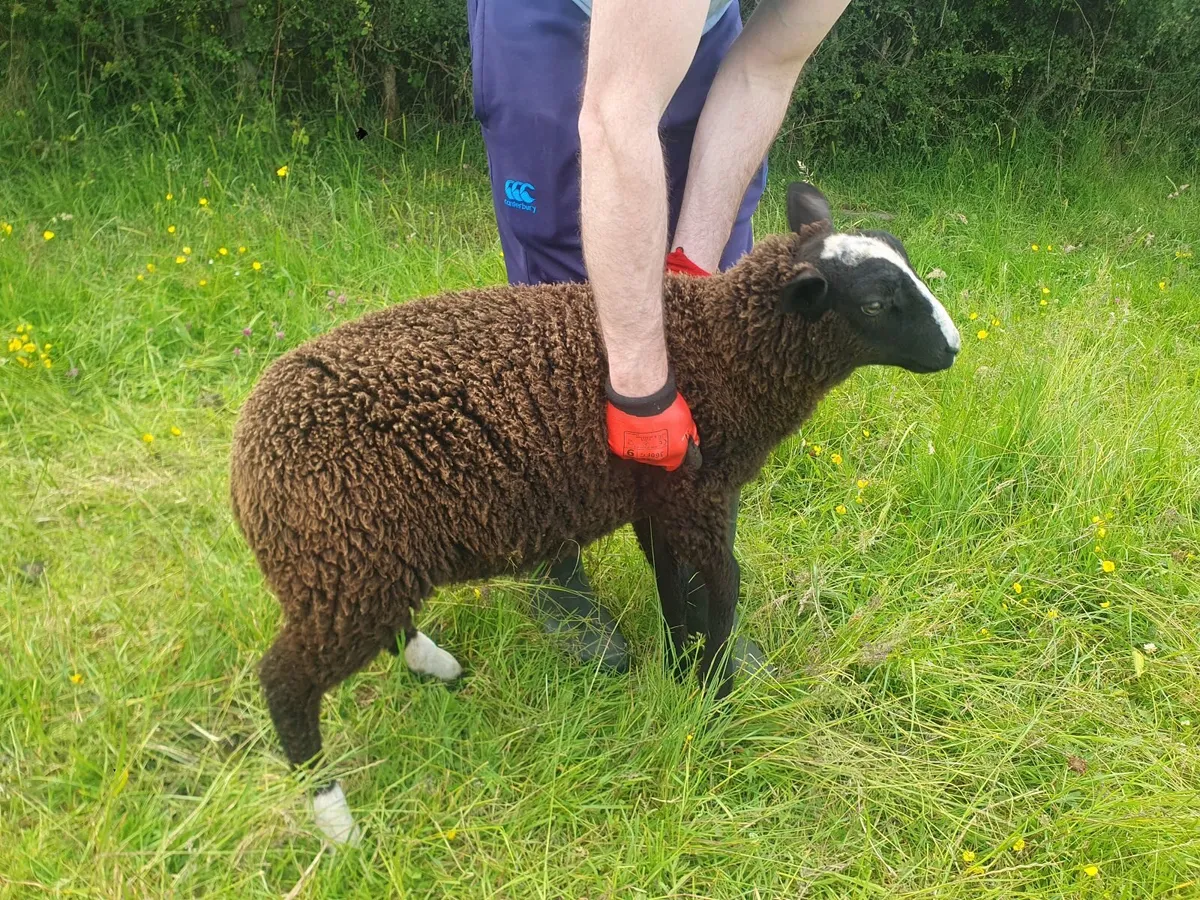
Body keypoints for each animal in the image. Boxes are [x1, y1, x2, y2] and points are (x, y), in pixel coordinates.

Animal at [228, 181, 961, 845]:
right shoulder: (699, 492)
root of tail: (246, 464)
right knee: (285, 684)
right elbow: (724, 585)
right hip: (343, 559)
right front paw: (714, 699)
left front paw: (679, 668)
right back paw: (335, 820)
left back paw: (434, 666)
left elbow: (673, 584)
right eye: (876, 302)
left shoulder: (661, 498)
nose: (953, 348)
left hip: (361, 556)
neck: (722, 352)